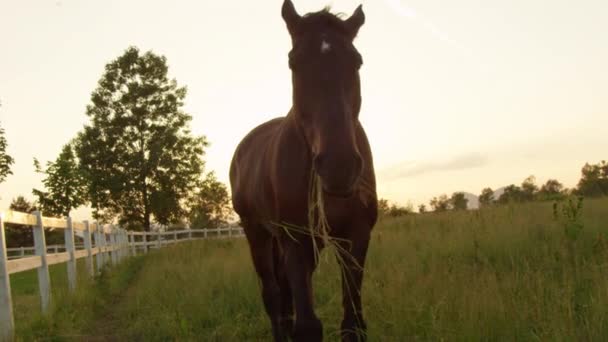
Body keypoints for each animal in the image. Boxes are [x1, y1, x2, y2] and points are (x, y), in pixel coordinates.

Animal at [230, 1, 378, 340]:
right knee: (273, 298)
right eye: (293, 62)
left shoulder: (356, 237)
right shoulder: (294, 241)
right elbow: (307, 325)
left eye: (357, 61)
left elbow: (353, 323)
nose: (339, 166)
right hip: (258, 234)